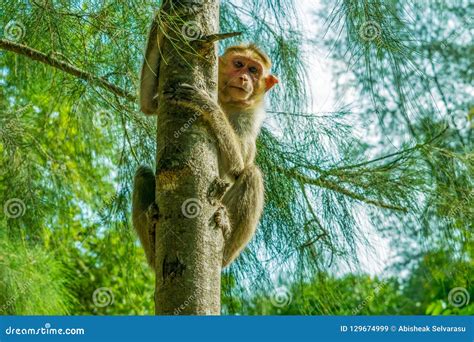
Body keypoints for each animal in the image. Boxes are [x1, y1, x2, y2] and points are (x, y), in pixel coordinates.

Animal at [132, 19, 278, 270]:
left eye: (254, 70)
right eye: (239, 64)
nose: (244, 79)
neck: (228, 101)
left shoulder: (250, 116)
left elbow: (237, 166)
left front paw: (205, 103)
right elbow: (148, 104)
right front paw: (163, 19)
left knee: (252, 174)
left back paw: (225, 235)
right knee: (142, 173)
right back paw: (152, 234)